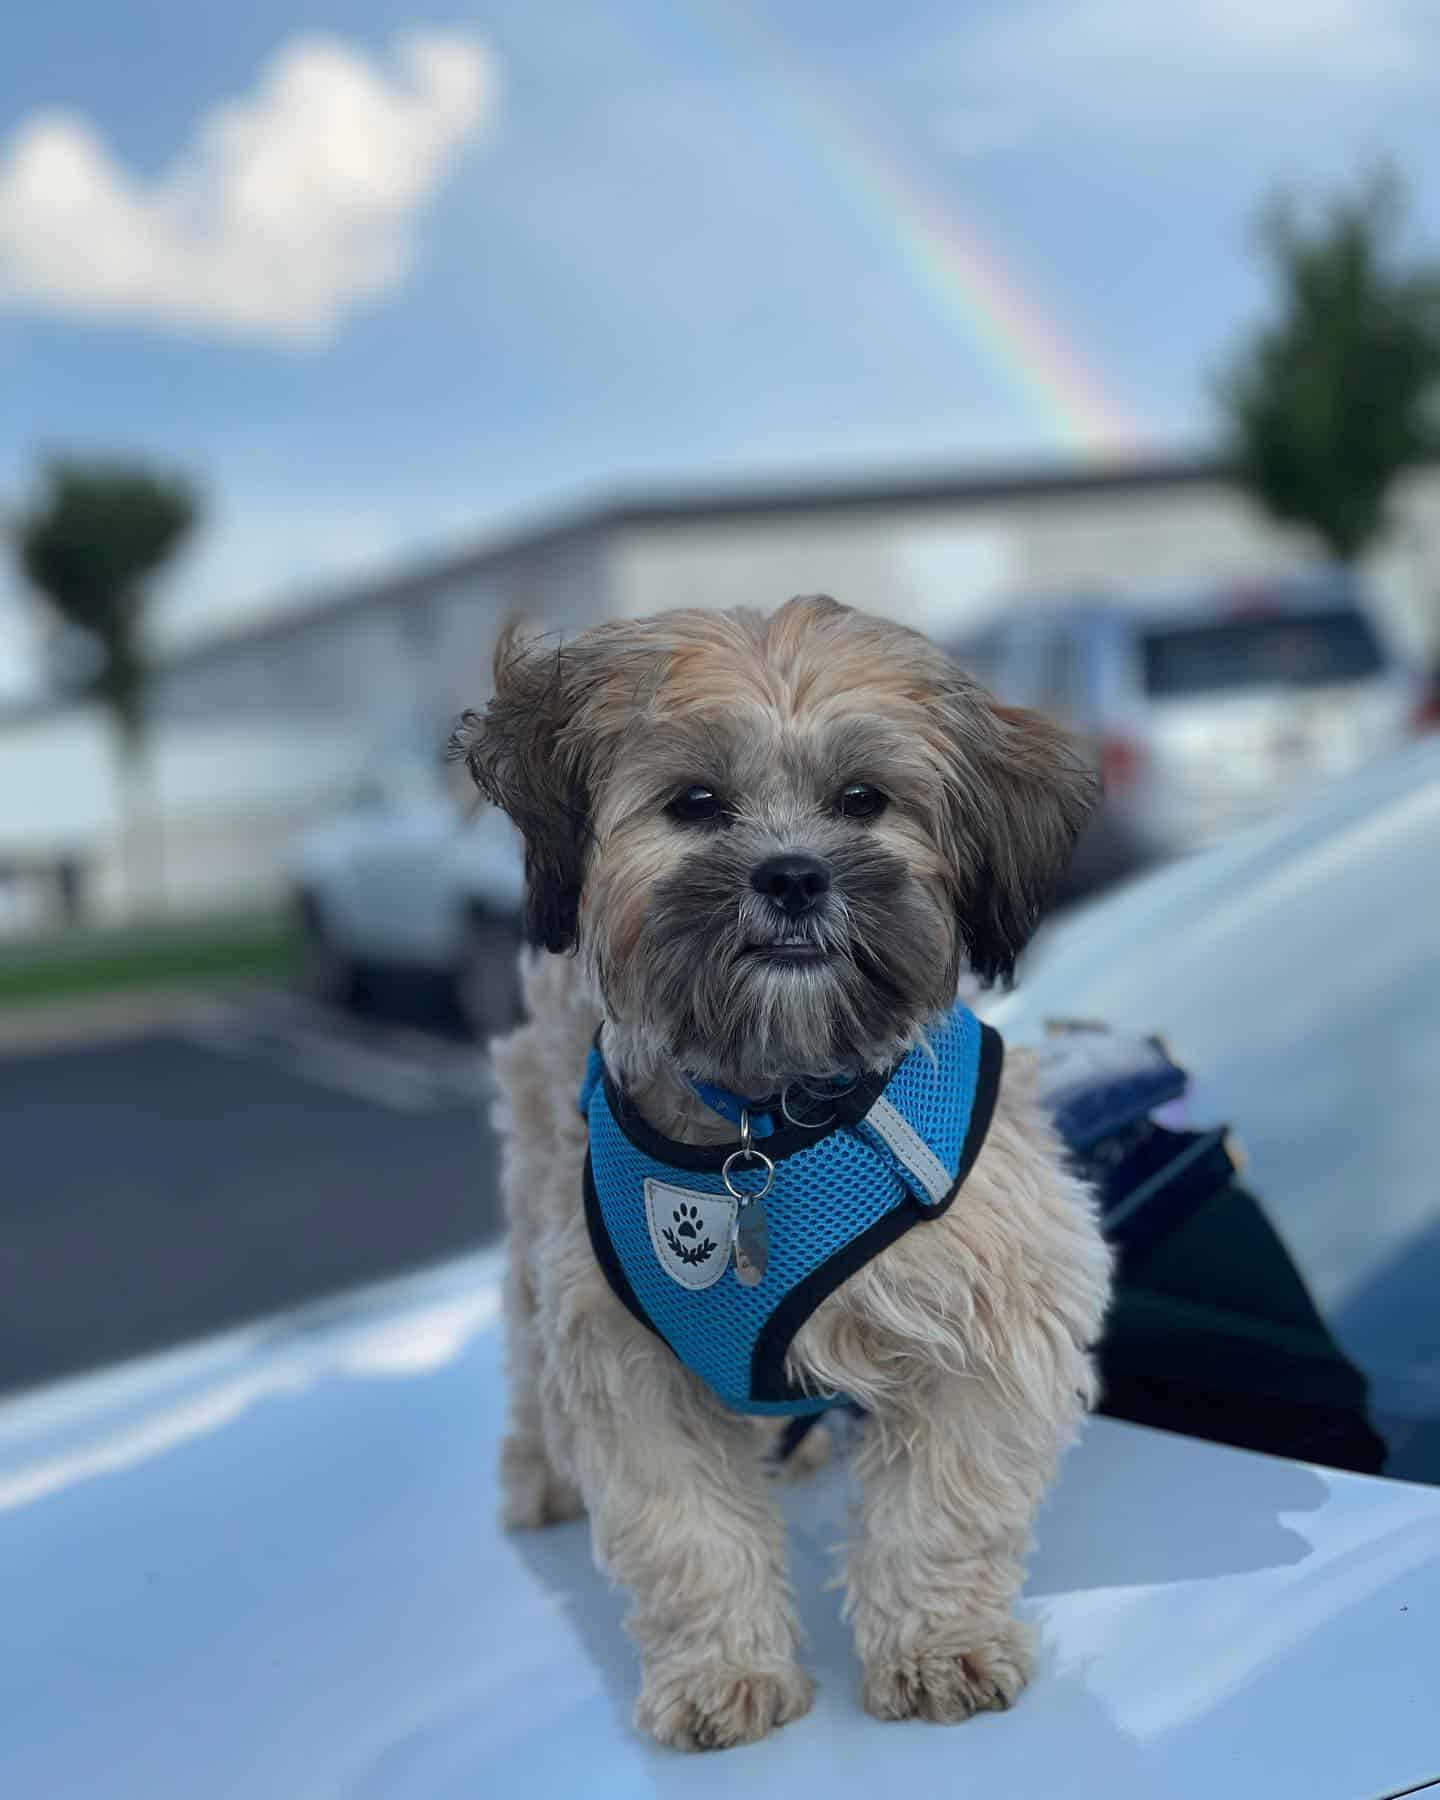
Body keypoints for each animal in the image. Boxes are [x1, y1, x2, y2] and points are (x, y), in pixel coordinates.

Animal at [455, 597, 1108, 1749]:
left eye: (863, 800)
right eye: (696, 803)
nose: (795, 874)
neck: (767, 1116)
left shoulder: (998, 1310)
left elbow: (943, 1506)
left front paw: (937, 1647)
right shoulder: (622, 1350)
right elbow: (685, 1532)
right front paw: (723, 1673)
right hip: (535, 1201)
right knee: (529, 1362)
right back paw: (538, 1474)